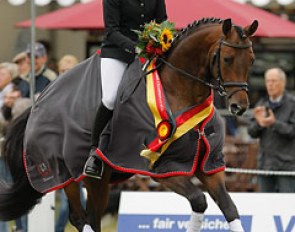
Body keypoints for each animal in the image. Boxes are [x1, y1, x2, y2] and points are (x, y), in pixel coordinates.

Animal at [0, 18, 260, 232]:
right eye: (227, 59)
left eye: (251, 60)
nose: (239, 107)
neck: (179, 92)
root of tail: (38, 102)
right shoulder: (163, 169)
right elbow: (199, 200)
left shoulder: (208, 167)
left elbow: (230, 209)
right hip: (67, 174)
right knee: (81, 218)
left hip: (99, 180)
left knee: (92, 218)